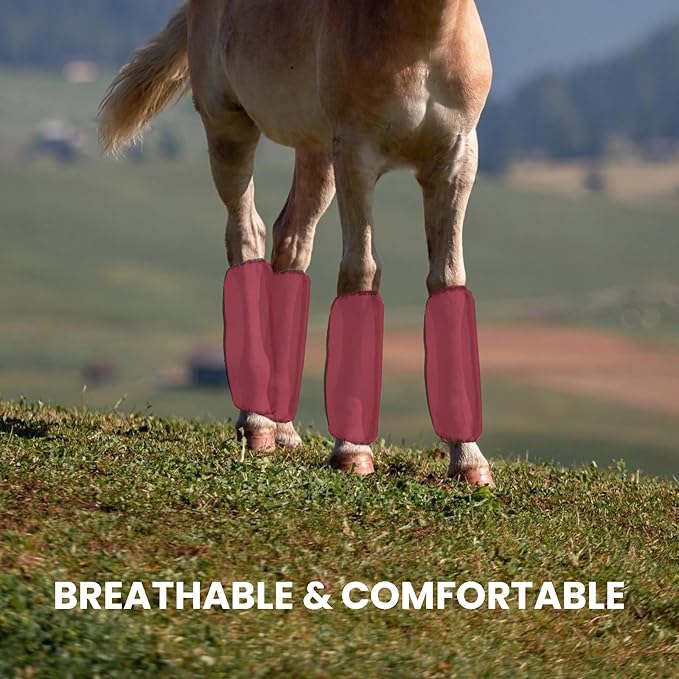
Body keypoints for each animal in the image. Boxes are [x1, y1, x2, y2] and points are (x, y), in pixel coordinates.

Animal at [98, 0, 495, 487]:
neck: (424, 39)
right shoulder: (357, 155)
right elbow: (361, 272)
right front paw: (352, 451)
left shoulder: (458, 159)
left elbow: (447, 278)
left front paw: (469, 459)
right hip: (229, 127)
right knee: (246, 235)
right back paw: (256, 425)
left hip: (316, 150)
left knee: (291, 244)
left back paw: (282, 428)